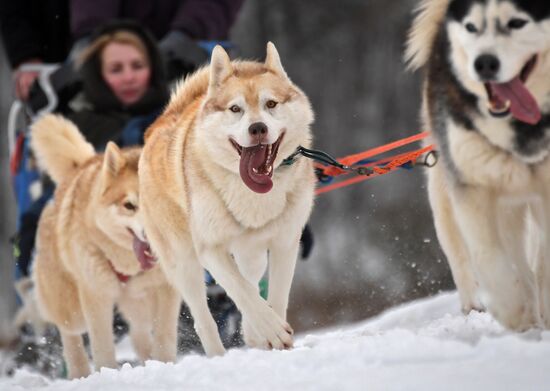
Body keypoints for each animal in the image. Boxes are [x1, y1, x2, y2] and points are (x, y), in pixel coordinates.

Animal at [29, 115, 181, 380]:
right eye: (129, 205)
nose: (151, 236)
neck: (128, 264)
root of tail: (80, 165)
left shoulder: (166, 288)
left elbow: (164, 333)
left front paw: (164, 364)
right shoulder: (96, 297)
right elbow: (102, 347)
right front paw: (106, 373)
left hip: (139, 304)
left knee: (139, 334)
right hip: (72, 309)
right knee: (71, 336)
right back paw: (79, 373)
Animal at [140, 43, 316, 356]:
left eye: (271, 104)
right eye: (236, 108)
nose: (257, 128)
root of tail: (160, 121)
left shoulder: (285, 242)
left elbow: (275, 295)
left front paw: (271, 333)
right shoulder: (210, 249)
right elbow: (241, 291)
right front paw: (271, 329)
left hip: (251, 253)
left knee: (251, 279)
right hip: (184, 264)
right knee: (204, 320)